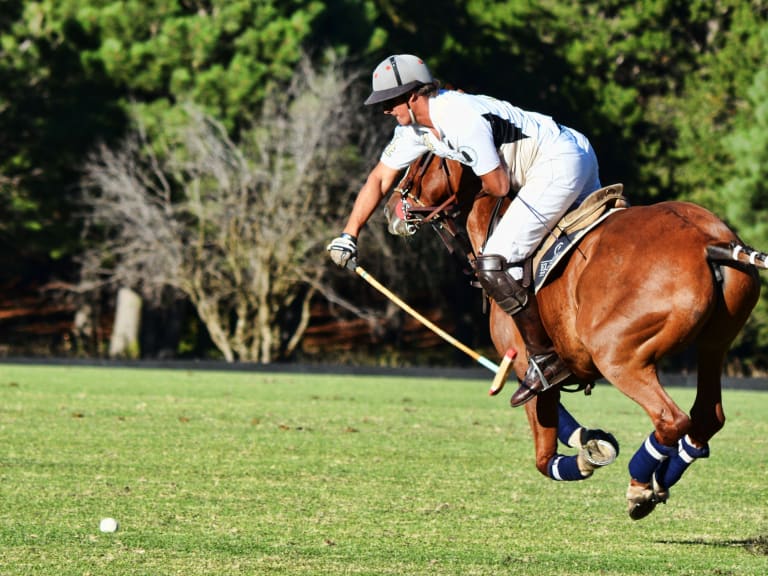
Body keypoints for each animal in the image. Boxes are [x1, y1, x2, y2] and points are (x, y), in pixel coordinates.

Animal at [383, 153, 768, 519]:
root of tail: (709, 242)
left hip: (616, 355)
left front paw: (589, 455)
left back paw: (640, 486)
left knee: (671, 419)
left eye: (421, 160)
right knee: (706, 416)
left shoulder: (527, 368)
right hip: (714, 345)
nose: (389, 209)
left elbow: (543, 456)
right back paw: (661, 479)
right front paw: (592, 442)